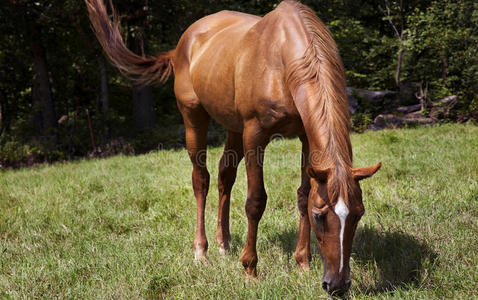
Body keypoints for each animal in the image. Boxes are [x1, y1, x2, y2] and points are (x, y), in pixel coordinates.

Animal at [86, 0, 380, 296]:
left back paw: (223, 244)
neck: (281, 61)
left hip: (233, 128)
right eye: (320, 216)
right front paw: (250, 270)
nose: (337, 285)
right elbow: (255, 201)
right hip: (194, 120)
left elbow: (303, 194)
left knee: (224, 175)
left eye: (358, 214)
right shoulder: (254, 135)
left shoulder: (306, 138)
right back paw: (201, 251)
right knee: (201, 180)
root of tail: (182, 44)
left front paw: (303, 264)